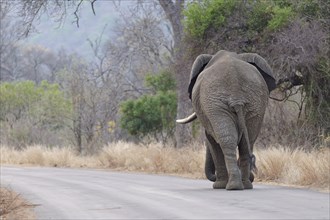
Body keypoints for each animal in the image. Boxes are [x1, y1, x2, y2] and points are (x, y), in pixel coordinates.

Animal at [178, 49, 276, 189]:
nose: (253, 177)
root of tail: (237, 95)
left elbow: (211, 139)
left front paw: (219, 185)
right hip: (255, 102)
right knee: (247, 142)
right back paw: (245, 185)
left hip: (216, 104)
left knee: (226, 140)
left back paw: (232, 186)